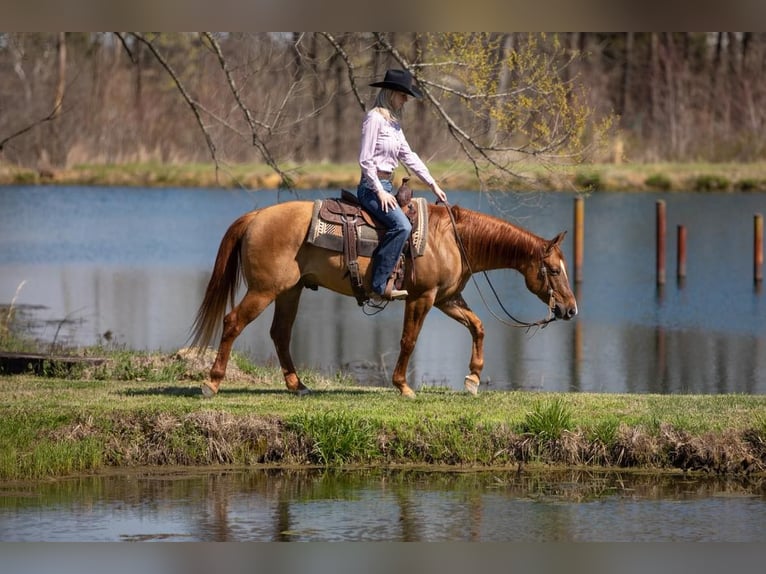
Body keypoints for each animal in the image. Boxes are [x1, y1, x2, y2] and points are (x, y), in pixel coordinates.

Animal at [189, 200, 580, 398]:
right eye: (554, 270)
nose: (570, 309)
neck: (452, 239)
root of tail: (256, 216)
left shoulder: (447, 299)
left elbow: (479, 327)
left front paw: (472, 380)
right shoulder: (422, 297)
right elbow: (408, 340)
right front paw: (403, 386)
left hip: (290, 291)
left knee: (280, 334)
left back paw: (297, 386)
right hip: (264, 290)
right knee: (233, 322)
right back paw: (212, 383)